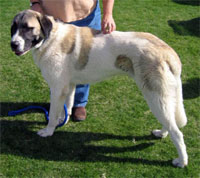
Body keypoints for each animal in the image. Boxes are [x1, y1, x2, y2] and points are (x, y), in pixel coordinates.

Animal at [10, 9, 188, 168]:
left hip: (154, 96)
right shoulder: (68, 87)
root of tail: (168, 51)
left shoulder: (57, 88)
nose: (13, 44)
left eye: (27, 28)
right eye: (14, 27)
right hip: (162, 97)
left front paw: (48, 131)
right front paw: (63, 121)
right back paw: (162, 133)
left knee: (177, 132)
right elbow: (66, 107)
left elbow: (53, 114)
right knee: (170, 122)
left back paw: (181, 161)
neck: (50, 38)